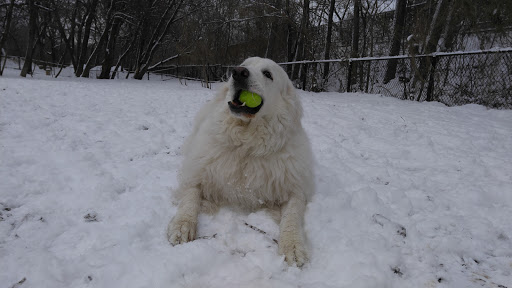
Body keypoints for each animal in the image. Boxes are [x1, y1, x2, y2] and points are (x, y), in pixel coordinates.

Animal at [166, 57, 314, 266]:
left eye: (268, 74)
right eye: (244, 64)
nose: (237, 72)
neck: (246, 144)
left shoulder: (295, 189)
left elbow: (292, 216)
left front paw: (292, 245)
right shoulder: (196, 175)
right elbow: (189, 199)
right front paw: (182, 226)